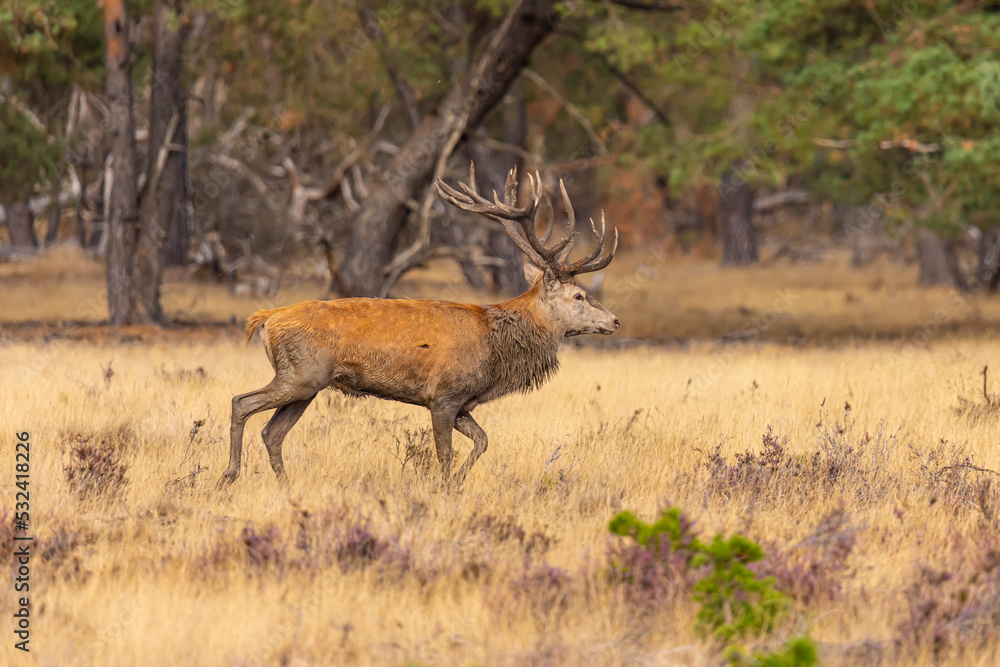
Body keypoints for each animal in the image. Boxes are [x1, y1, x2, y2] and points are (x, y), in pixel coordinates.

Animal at [218, 163, 619, 489]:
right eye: (579, 295)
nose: (615, 320)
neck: (496, 353)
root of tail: (267, 318)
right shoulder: (443, 395)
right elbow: (445, 454)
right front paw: (444, 487)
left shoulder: (463, 403)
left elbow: (483, 441)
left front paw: (457, 483)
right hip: (301, 374)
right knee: (242, 402)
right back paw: (229, 476)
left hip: (308, 386)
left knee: (272, 432)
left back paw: (285, 487)